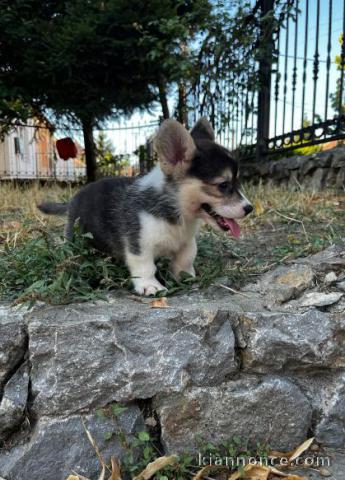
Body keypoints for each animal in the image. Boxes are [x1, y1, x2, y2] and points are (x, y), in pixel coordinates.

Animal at [38, 118, 253, 294]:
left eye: (237, 182)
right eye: (223, 185)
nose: (249, 209)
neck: (177, 213)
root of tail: (74, 199)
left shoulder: (187, 241)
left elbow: (187, 256)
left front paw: (185, 276)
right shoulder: (139, 244)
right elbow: (145, 266)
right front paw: (150, 286)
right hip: (76, 238)